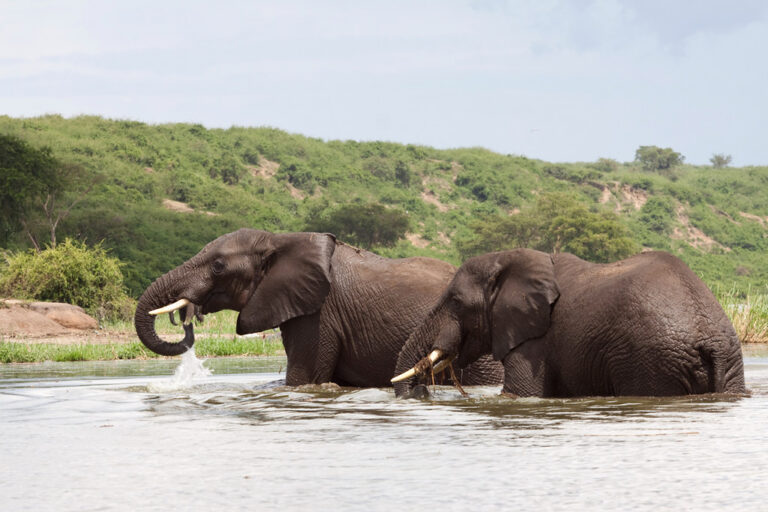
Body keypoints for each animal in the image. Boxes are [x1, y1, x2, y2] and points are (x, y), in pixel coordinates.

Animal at [392, 249, 746, 398]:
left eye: (455, 301)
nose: (422, 390)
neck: (508, 258)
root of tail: (710, 339)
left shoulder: (534, 344)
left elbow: (519, 395)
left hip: (651, 360)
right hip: (730, 364)